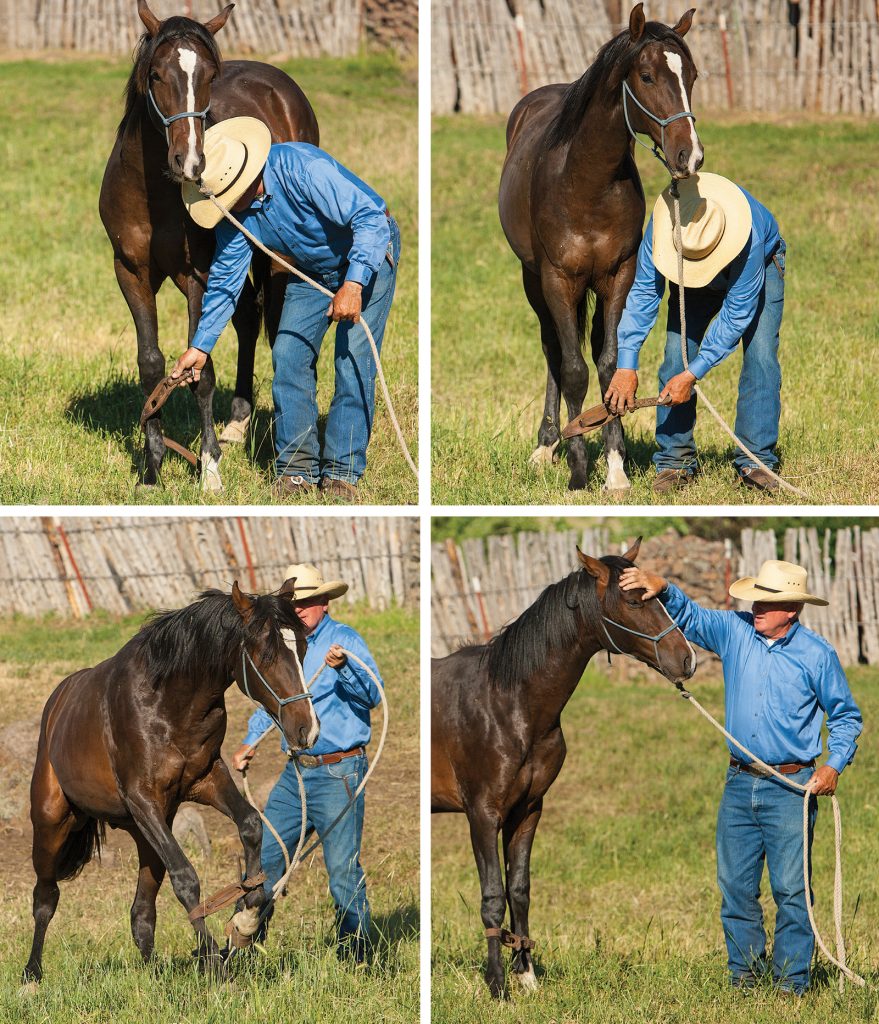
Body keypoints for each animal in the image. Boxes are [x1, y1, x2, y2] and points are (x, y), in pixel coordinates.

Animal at [23, 579, 319, 983]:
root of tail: (57, 705)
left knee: (141, 911)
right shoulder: (142, 799)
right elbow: (186, 878)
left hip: (146, 833)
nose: (307, 730)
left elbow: (250, 824)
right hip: (53, 821)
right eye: (265, 653)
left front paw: (246, 917)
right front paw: (212, 960)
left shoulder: (205, 780)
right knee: (45, 897)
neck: (168, 701)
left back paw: (152, 974)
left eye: (302, 646)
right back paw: (32, 975)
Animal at [99, 1, 319, 490]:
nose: (191, 162)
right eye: (156, 74)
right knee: (248, 319)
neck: (155, 195)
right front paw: (152, 469)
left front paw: (210, 468)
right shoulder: (131, 273)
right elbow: (152, 365)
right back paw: (237, 421)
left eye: (209, 76)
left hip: (274, 257)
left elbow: (200, 371)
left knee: (278, 325)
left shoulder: (196, 274)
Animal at [431, 539, 696, 997]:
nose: (685, 659)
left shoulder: (527, 810)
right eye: (632, 601)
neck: (508, 701)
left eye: (659, 597)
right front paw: (497, 985)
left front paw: (527, 977)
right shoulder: (482, 813)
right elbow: (492, 896)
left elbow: (519, 889)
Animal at [498, 4, 703, 492]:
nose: (689, 157)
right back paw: (546, 446)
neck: (586, 180)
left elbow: (610, 366)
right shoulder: (558, 279)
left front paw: (615, 470)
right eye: (646, 76)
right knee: (554, 351)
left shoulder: (618, 277)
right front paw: (578, 470)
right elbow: (574, 371)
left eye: (692, 75)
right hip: (534, 281)